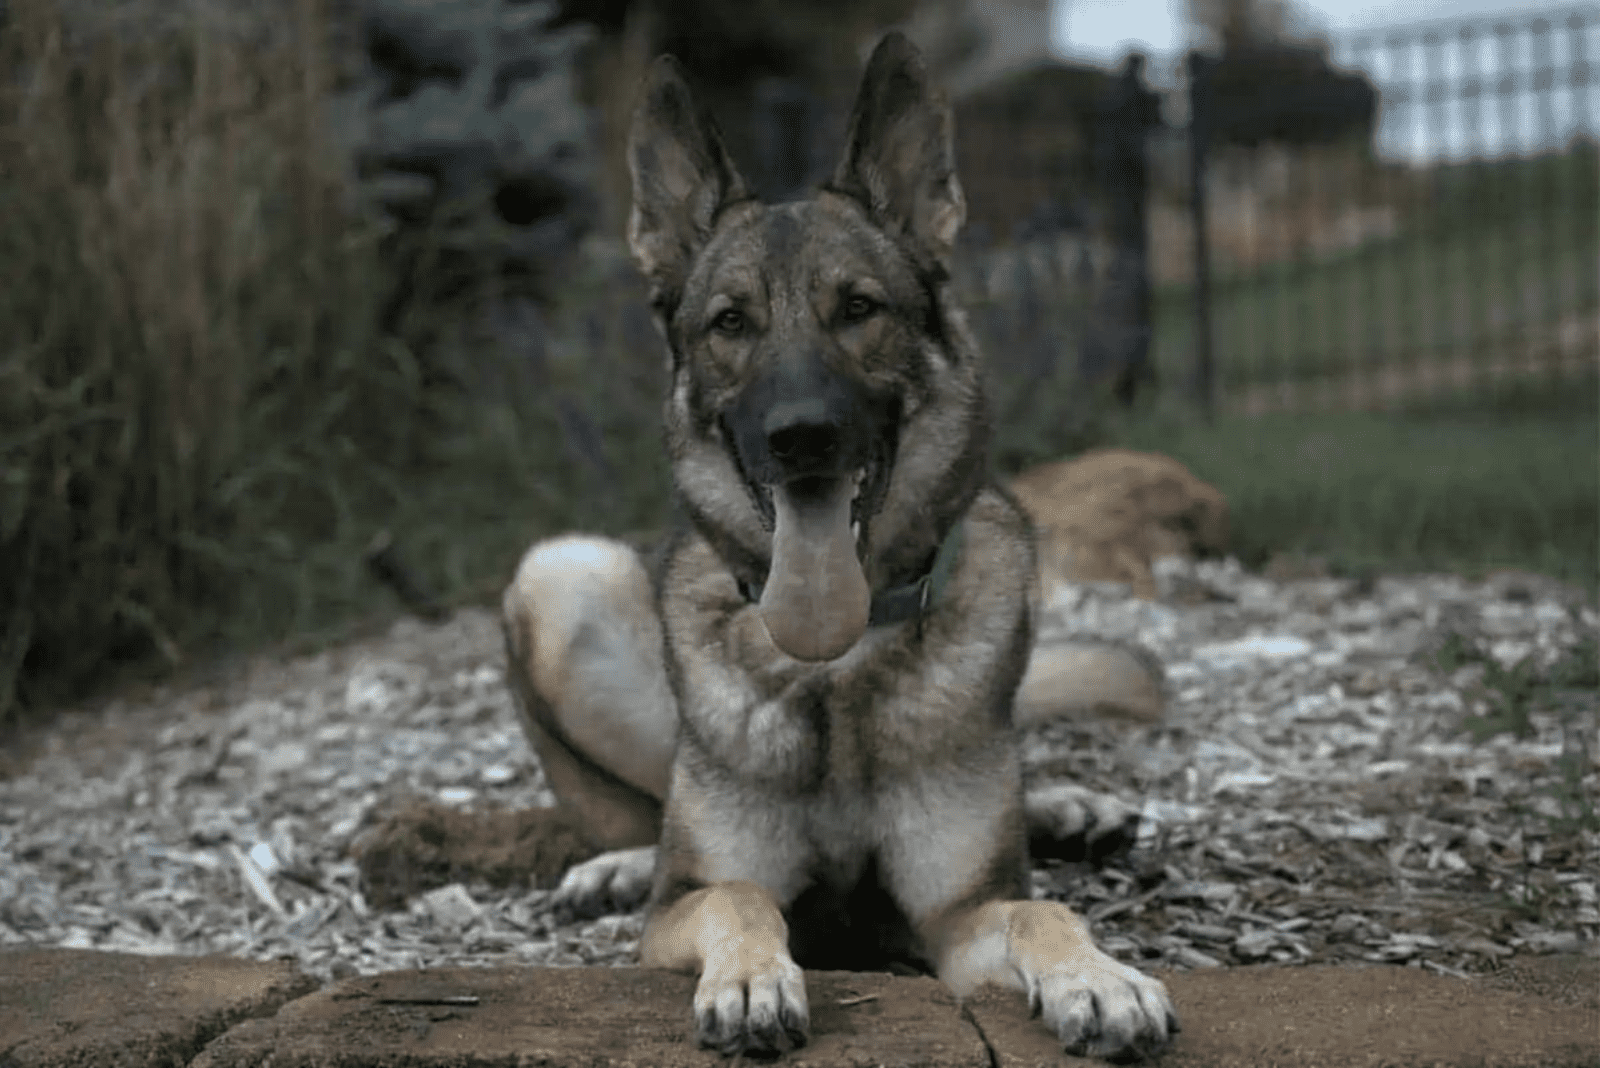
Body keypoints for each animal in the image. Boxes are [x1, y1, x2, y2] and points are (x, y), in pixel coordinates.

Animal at [499, 31, 1177, 1061]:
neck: (837, 666)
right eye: (730, 323)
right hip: (561, 575)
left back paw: (1064, 806)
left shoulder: (955, 922)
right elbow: (737, 892)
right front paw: (749, 980)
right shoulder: (681, 910)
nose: (801, 436)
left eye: (859, 309)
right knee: (654, 805)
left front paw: (1100, 980)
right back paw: (617, 864)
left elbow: (1038, 912)